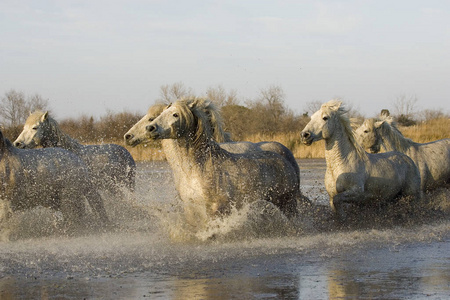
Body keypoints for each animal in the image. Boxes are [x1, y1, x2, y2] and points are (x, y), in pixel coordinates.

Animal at [123, 98, 302, 230]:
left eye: (174, 115)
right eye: (161, 115)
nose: (128, 136)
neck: (193, 170)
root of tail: (284, 158)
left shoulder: (215, 208)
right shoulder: (191, 207)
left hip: (287, 203)